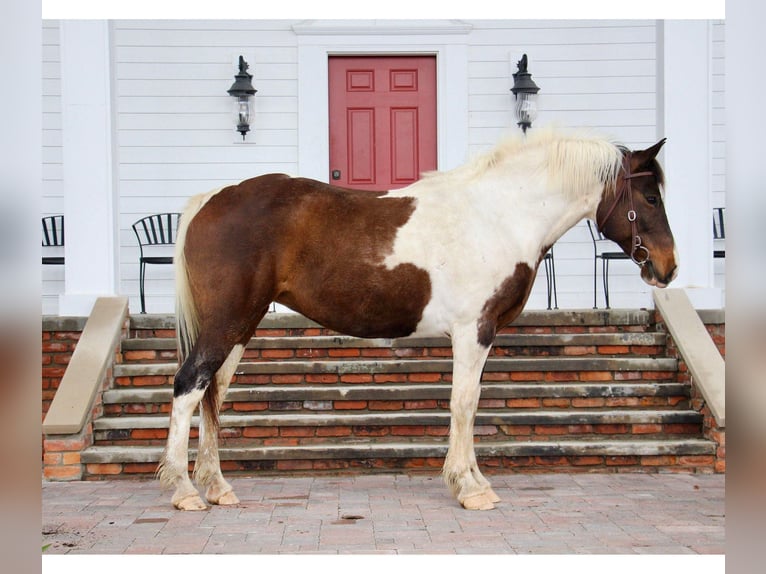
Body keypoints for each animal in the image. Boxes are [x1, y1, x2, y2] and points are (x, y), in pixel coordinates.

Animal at [156, 129, 680, 512]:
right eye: (651, 198)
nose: (668, 268)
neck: (500, 214)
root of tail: (209, 199)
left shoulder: (481, 336)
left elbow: (471, 405)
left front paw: (476, 480)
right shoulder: (473, 332)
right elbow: (463, 405)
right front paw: (469, 488)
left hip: (239, 326)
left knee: (212, 393)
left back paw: (217, 487)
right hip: (227, 322)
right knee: (188, 386)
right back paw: (184, 492)